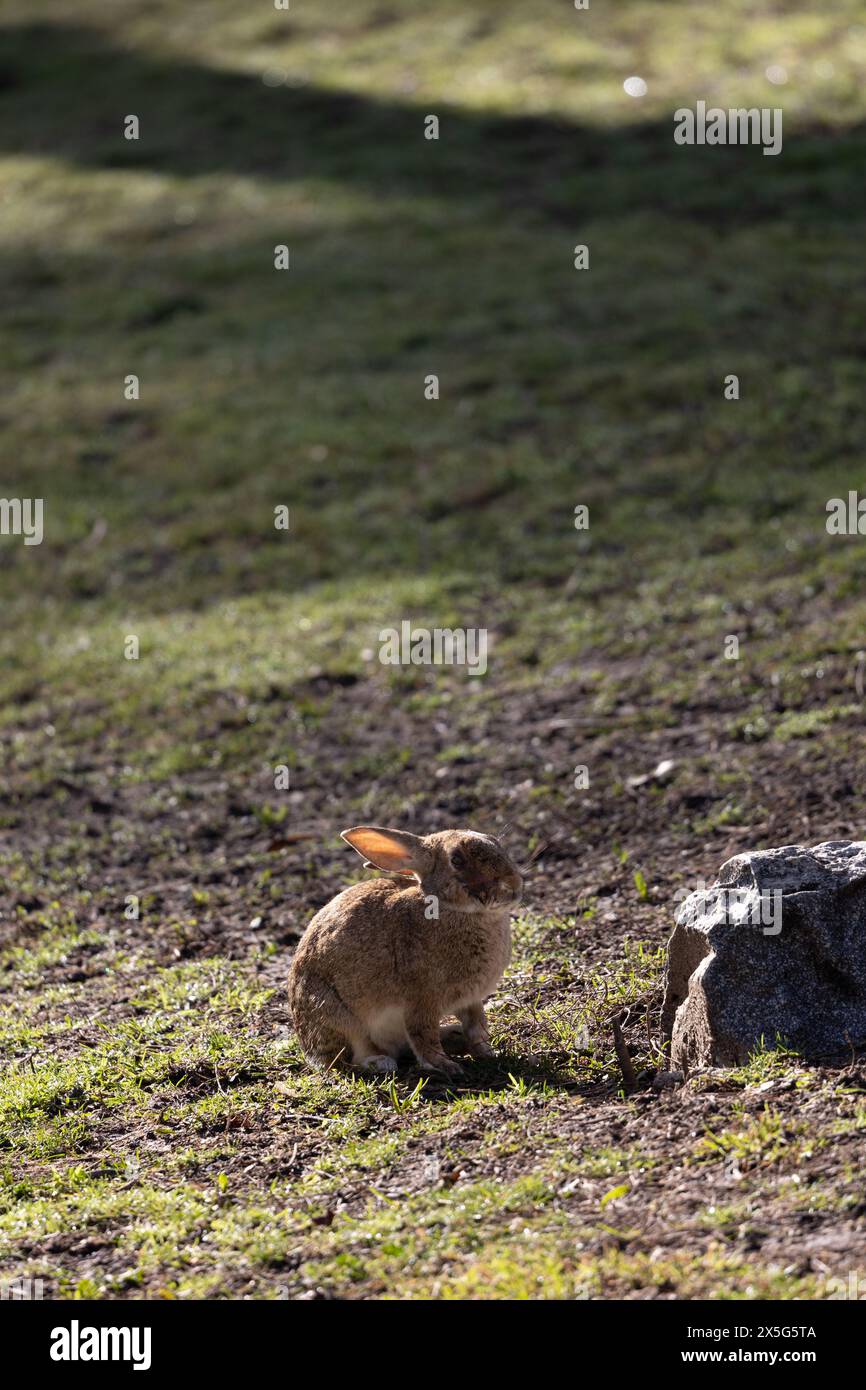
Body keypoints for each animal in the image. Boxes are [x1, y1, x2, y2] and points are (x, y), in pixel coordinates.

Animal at [288, 826, 523, 1077]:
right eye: (457, 860)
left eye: (495, 842)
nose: (514, 884)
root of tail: (307, 1048)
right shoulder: (421, 999)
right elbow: (423, 1035)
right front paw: (445, 1066)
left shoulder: (470, 999)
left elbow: (477, 1025)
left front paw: (487, 1052)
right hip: (336, 1017)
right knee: (350, 1058)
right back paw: (381, 1062)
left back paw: (454, 1036)